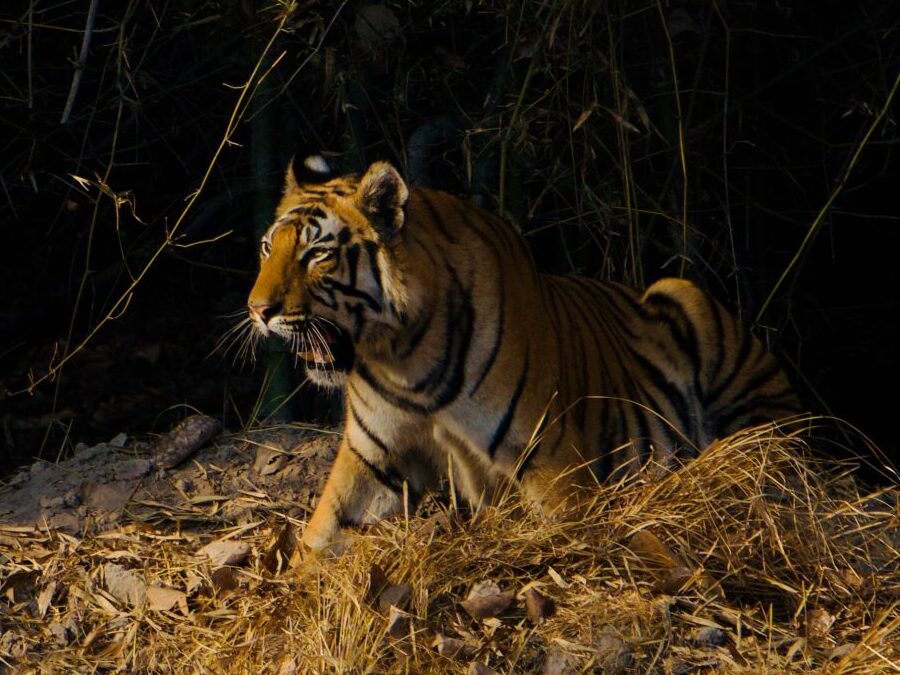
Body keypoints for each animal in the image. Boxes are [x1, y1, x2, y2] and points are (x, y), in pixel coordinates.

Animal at [247, 153, 800, 552]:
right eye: (267, 247)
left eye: (317, 253)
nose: (258, 310)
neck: (400, 355)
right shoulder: (372, 457)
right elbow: (318, 537)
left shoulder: (551, 460)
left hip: (690, 303)